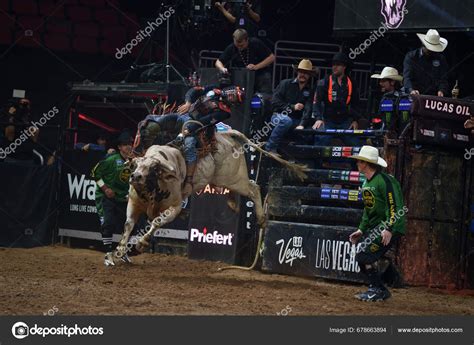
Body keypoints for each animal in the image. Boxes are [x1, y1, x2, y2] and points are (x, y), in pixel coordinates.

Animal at [114, 129, 308, 268]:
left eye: (153, 168)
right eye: (137, 165)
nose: (135, 177)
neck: (155, 185)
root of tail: (226, 135)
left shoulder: (175, 207)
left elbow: (156, 222)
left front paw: (142, 243)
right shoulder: (134, 202)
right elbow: (128, 224)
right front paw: (119, 252)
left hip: (234, 178)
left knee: (254, 188)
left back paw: (261, 218)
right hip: (226, 179)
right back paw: (233, 202)